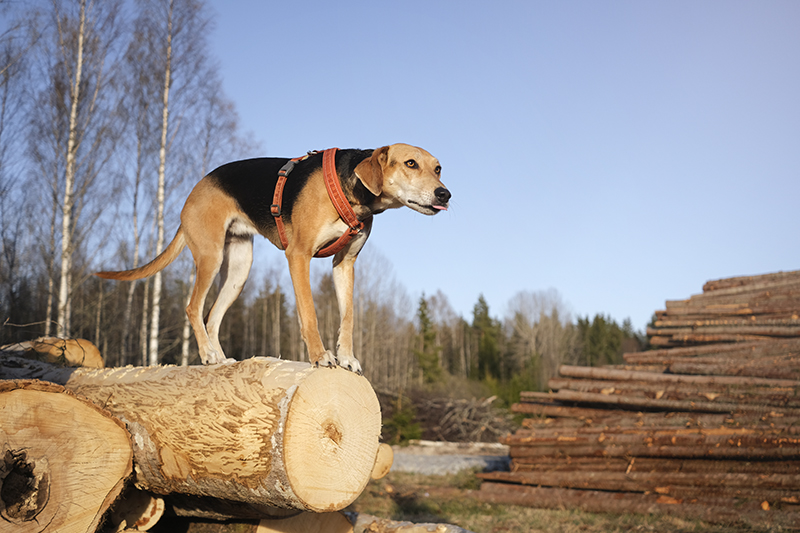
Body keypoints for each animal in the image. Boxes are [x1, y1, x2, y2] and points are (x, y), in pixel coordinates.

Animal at [95, 143, 450, 372]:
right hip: (210, 256)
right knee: (193, 307)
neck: (355, 192)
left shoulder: (344, 265)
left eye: (438, 168)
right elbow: (310, 314)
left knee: (212, 316)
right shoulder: (299, 257)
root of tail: (193, 193)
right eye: (410, 164)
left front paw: (347, 357)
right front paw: (321, 356)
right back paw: (208, 355)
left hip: (239, 269)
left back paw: (219, 358)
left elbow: (348, 317)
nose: (445, 194)